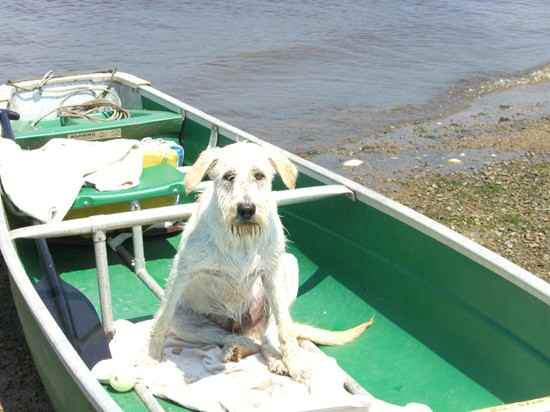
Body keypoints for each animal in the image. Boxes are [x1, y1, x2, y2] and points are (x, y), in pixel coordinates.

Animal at [149, 143, 374, 382]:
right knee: (233, 338)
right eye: (228, 176)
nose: (247, 209)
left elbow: (286, 330)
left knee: (267, 337)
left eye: (259, 176)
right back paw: (235, 349)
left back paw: (275, 359)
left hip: (288, 269)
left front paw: (295, 365)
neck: (241, 238)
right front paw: (151, 358)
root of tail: (244, 328)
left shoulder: (272, 273)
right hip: (185, 321)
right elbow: (161, 321)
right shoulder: (182, 270)